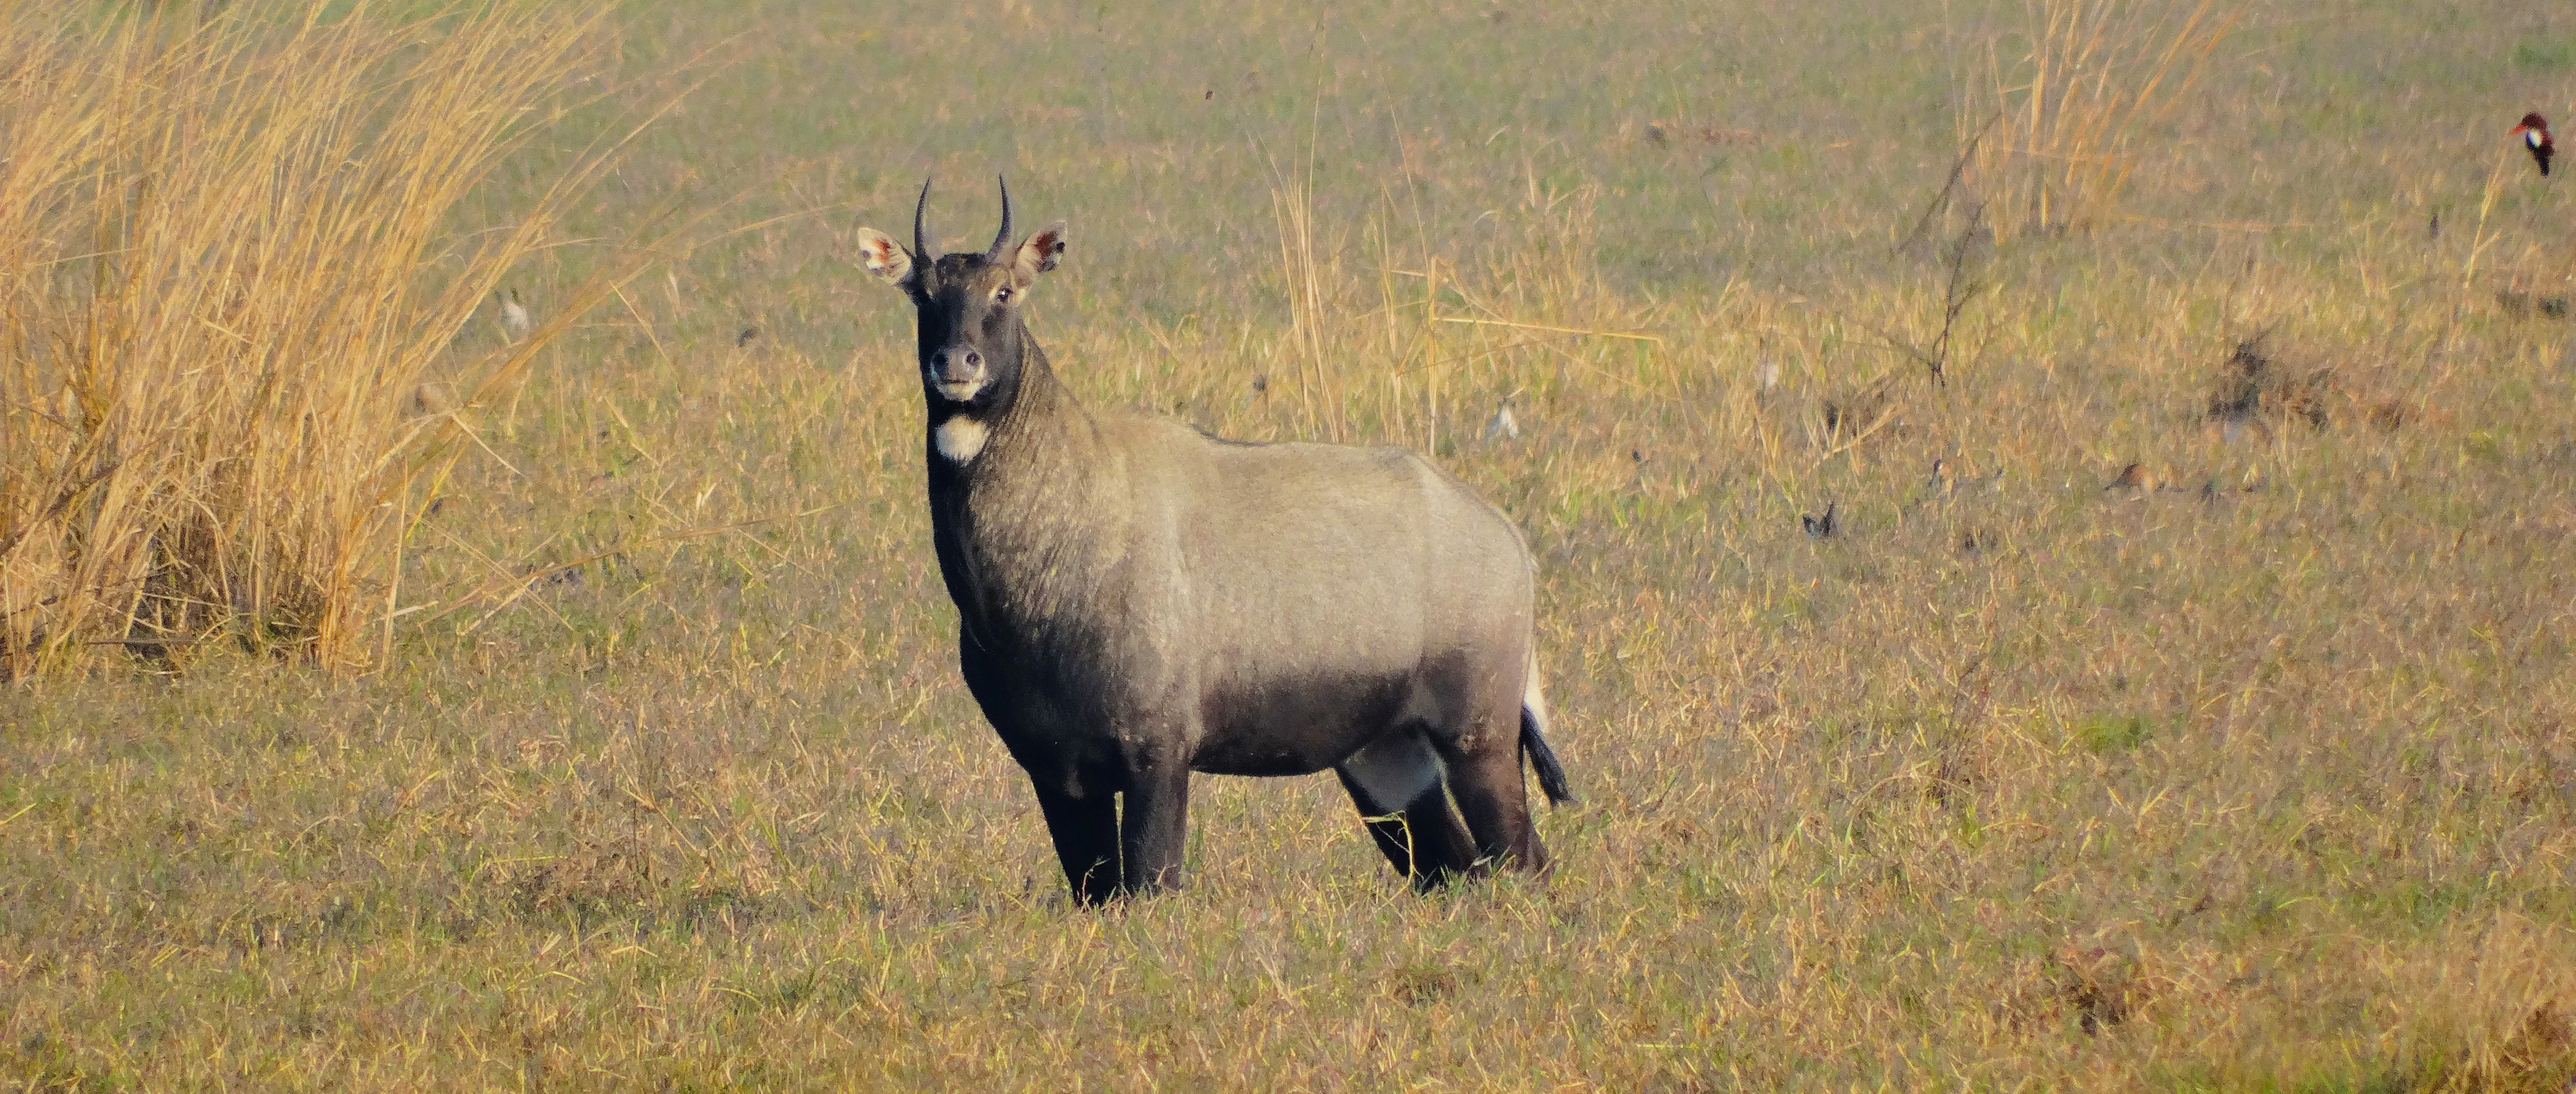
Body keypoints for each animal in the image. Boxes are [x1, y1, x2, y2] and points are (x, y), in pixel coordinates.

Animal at [849, 178, 1572, 903]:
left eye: (1004, 291)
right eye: (923, 295)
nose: (955, 363)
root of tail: (1506, 537)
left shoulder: (1157, 755)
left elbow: (1151, 886)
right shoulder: (1058, 773)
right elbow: (1098, 895)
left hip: (1478, 739)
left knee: (1522, 859)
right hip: (1386, 760)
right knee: (1454, 869)